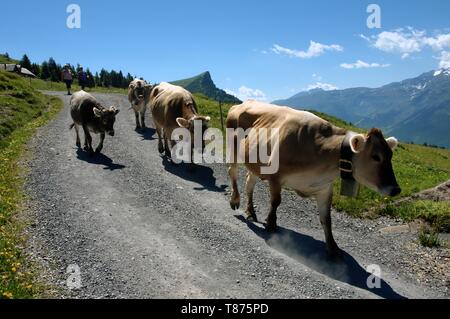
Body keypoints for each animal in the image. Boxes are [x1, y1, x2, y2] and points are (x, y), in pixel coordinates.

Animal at [227, 101, 400, 256]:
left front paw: (333, 247)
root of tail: (240, 104)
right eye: (376, 156)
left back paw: (251, 211)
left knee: (249, 183)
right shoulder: (276, 176)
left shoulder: (324, 188)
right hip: (233, 150)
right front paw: (271, 223)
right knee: (232, 172)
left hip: (255, 163)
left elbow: (326, 218)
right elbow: (275, 202)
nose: (396, 189)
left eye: (391, 155)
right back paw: (235, 200)